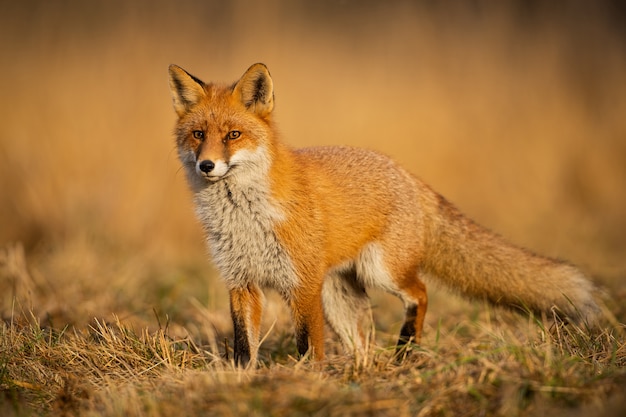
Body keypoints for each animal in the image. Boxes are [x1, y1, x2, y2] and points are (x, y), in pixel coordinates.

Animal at [168, 63, 596, 366]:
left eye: (233, 135)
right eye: (198, 135)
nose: (206, 165)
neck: (245, 219)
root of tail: (407, 173)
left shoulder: (302, 285)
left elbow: (309, 346)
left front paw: (310, 380)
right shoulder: (241, 282)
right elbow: (244, 347)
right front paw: (244, 381)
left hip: (381, 271)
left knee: (420, 293)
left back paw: (405, 352)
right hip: (340, 296)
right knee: (362, 342)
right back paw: (363, 373)